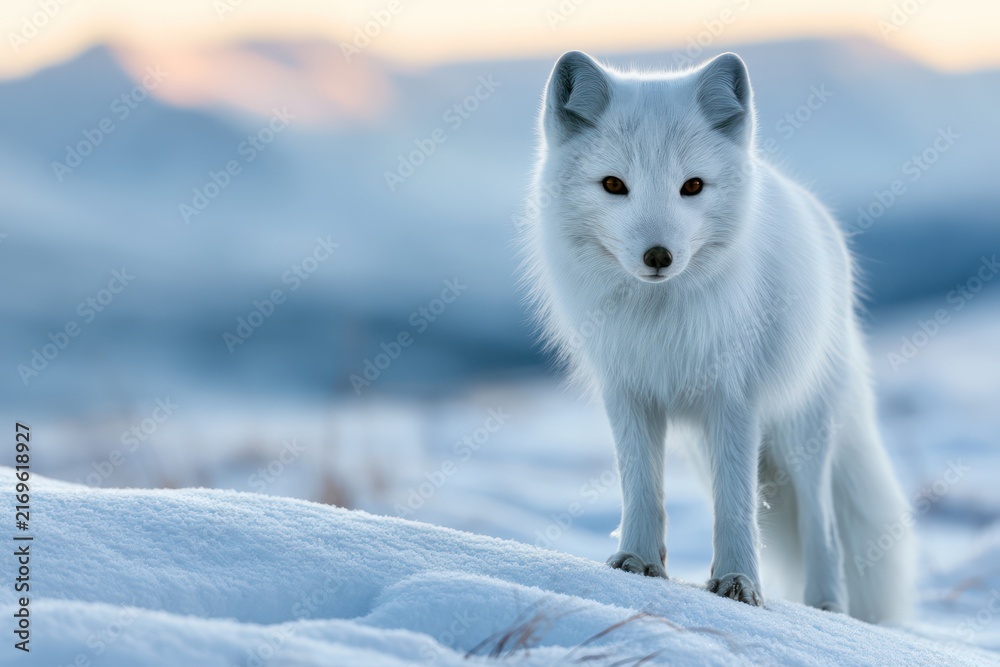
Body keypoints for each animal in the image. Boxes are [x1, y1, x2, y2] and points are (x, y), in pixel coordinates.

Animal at [521, 50, 915, 622]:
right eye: (614, 185)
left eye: (692, 186)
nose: (658, 256)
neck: (659, 320)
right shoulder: (628, 391)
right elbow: (642, 488)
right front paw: (636, 564)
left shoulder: (734, 397)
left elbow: (737, 507)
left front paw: (738, 585)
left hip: (802, 429)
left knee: (820, 523)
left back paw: (826, 608)